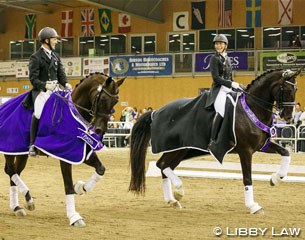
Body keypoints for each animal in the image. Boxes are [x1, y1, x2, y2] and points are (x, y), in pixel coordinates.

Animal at [2, 73, 124, 227]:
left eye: (116, 101)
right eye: (102, 99)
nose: (100, 130)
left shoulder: (81, 152)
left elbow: (100, 169)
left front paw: (81, 187)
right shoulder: (65, 154)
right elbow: (68, 186)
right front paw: (74, 217)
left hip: (21, 153)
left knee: (14, 172)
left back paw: (18, 206)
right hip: (9, 148)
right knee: (11, 171)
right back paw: (27, 199)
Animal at [128, 69, 300, 214]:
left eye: (296, 90)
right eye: (286, 89)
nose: (288, 117)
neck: (251, 108)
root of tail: (156, 112)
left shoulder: (261, 145)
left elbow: (286, 153)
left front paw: (275, 179)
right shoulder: (245, 150)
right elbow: (247, 178)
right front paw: (253, 206)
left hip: (180, 150)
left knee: (164, 166)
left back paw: (172, 200)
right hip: (177, 149)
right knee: (162, 165)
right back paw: (179, 190)